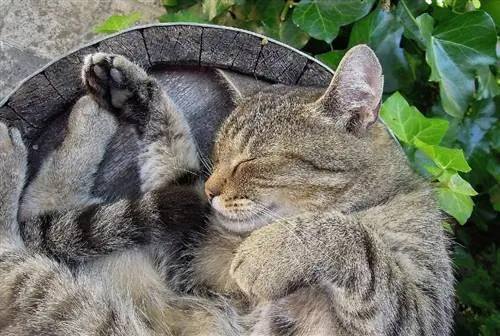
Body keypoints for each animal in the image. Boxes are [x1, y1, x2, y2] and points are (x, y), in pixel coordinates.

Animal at [0, 45, 454, 336]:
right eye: (217, 156)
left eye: (250, 161)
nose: (210, 189)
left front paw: (270, 253)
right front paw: (132, 89)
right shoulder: (185, 246)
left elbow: (353, 239)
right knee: (32, 225)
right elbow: (171, 151)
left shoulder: (422, 314)